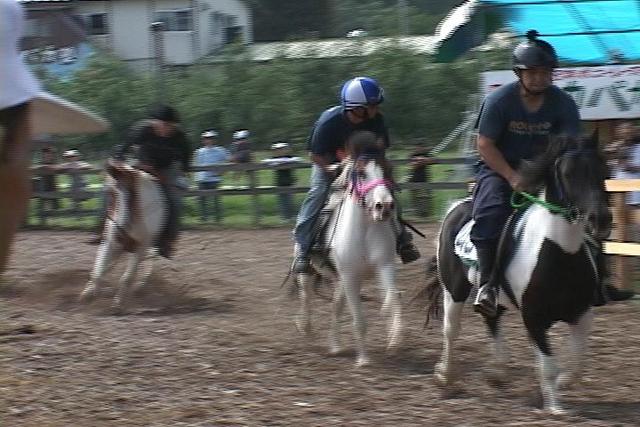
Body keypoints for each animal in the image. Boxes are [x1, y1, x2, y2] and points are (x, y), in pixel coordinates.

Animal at [79, 160, 168, 308]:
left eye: (132, 193)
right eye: (109, 193)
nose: (121, 229)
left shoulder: (141, 246)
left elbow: (127, 277)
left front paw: (118, 303)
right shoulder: (111, 242)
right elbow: (98, 271)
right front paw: (89, 294)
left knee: (150, 259)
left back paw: (140, 287)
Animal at [298, 144, 402, 368]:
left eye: (388, 169)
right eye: (361, 173)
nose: (384, 206)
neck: (364, 230)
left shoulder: (384, 266)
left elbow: (394, 296)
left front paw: (395, 337)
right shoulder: (351, 276)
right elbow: (359, 319)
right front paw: (363, 359)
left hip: (340, 280)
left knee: (335, 307)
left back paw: (335, 346)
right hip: (308, 272)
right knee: (306, 297)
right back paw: (306, 328)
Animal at [422, 134, 612, 414]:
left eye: (603, 169)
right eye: (568, 173)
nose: (600, 220)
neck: (559, 252)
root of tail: (456, 206)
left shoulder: (582, 314)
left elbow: (577, 362)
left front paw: (561, 384)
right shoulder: (534, 318)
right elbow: (548, 365)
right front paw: (556, 407)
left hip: (491, 297)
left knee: (491, 320)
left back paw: (497, 373)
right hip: (453, 290)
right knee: (451, 330)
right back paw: (445, 375)